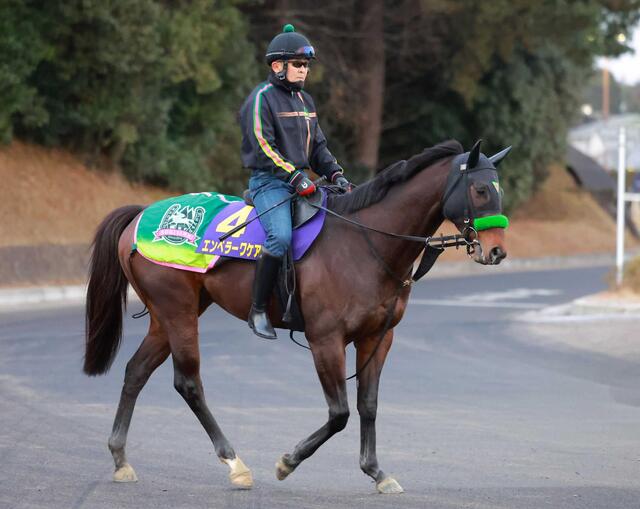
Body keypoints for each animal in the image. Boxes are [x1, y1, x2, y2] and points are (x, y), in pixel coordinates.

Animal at [82, 138, 510, 492]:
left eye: (498, 190)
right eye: (480, 189)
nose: (496, 251)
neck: (365, 242)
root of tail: (142, 216)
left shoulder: (377, 338)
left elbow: (368, 405)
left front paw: (376, 471)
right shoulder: (326, 341)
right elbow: (339, 413)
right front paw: (287, 462)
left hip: (166, 318)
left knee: (136, 372)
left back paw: (120, 458)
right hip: (179, 313)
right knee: (188, 383)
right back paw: (234, 463)